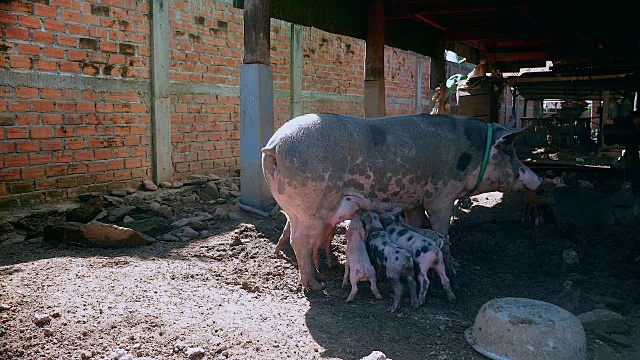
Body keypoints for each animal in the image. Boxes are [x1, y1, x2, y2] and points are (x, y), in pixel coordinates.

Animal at [262, 112, 540, 290]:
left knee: (298, 237)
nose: (538, 180)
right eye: (510, 152)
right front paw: (456, 266)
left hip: (295, 209)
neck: (473, 155)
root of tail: (274, 146)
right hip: (312, 205)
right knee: (299, 241)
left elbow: (415, 223)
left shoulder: (414, 200)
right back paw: (316, 287)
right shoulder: (441, 193)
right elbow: (442, 230)